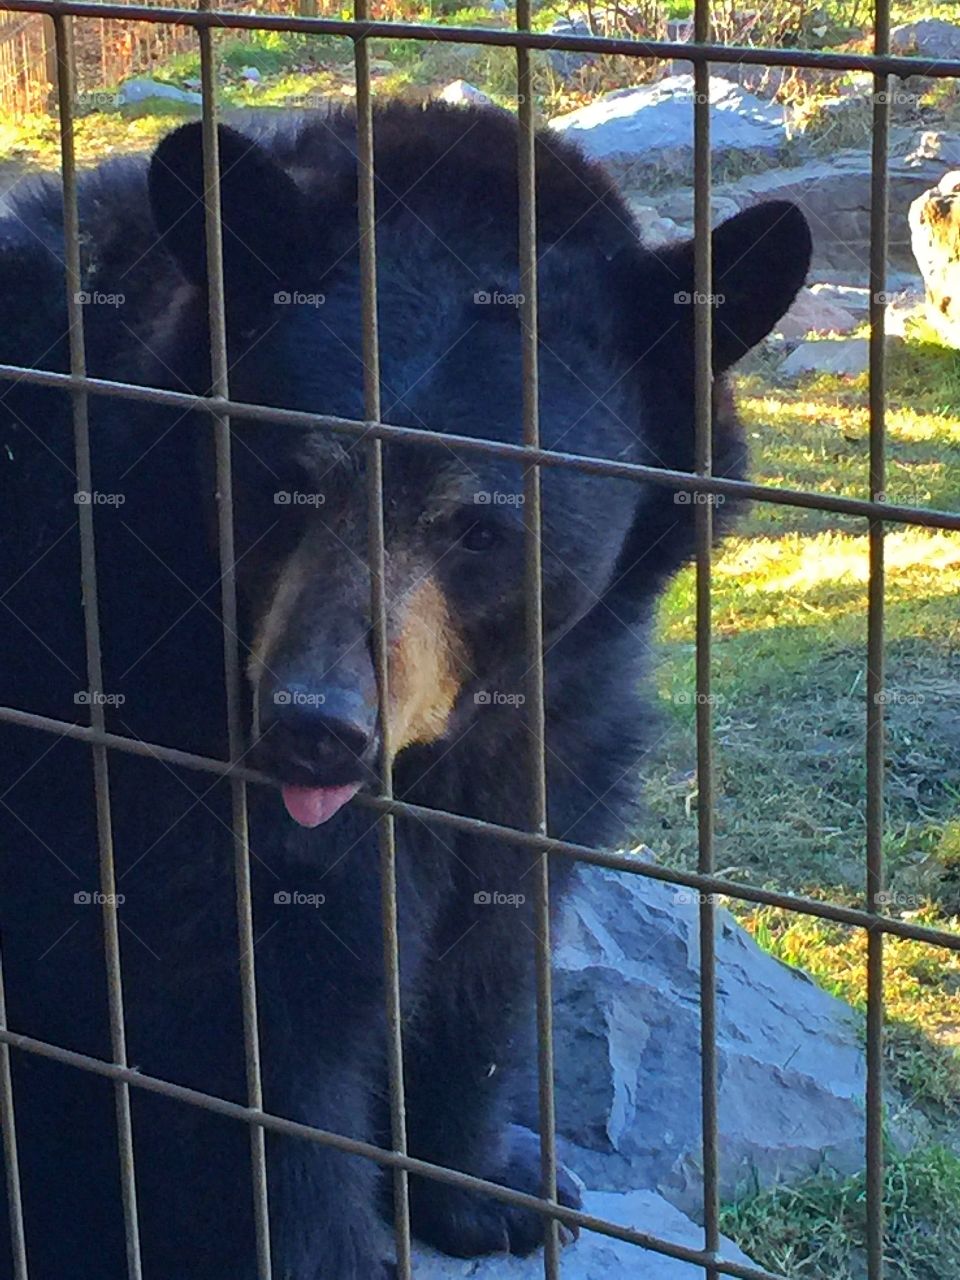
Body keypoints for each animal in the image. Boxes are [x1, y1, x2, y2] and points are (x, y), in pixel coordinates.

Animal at [0, 103, 811, 1278]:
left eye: (479, 529)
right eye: (284, 481)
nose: (313, 730)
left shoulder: (554, 723)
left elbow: (496, 932)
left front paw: (499, 1183)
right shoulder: (134, 730)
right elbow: (248, 1026)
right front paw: (332, 1244)